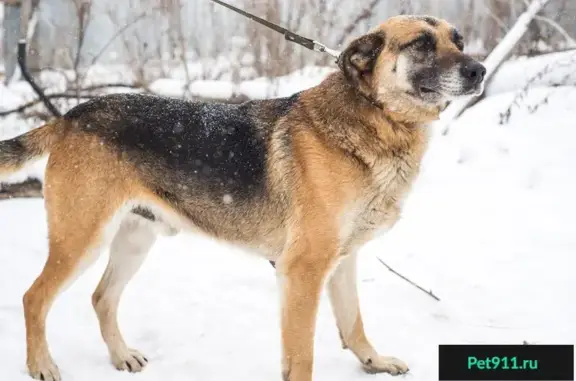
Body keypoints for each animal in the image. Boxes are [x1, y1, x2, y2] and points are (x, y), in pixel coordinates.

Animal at [1, 14, 486, 380]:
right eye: (421, 44)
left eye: (458, 40)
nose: (479, 70)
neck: (375, 121)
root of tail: (70, 115)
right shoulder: (303, 272)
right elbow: (302, 357)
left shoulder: (342, 260)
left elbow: (353, 322)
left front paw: (374, 361)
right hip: (82, 240)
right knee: (33, 298)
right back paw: (41, 365)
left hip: (136, 240)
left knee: (102, 298)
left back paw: (121, 355)